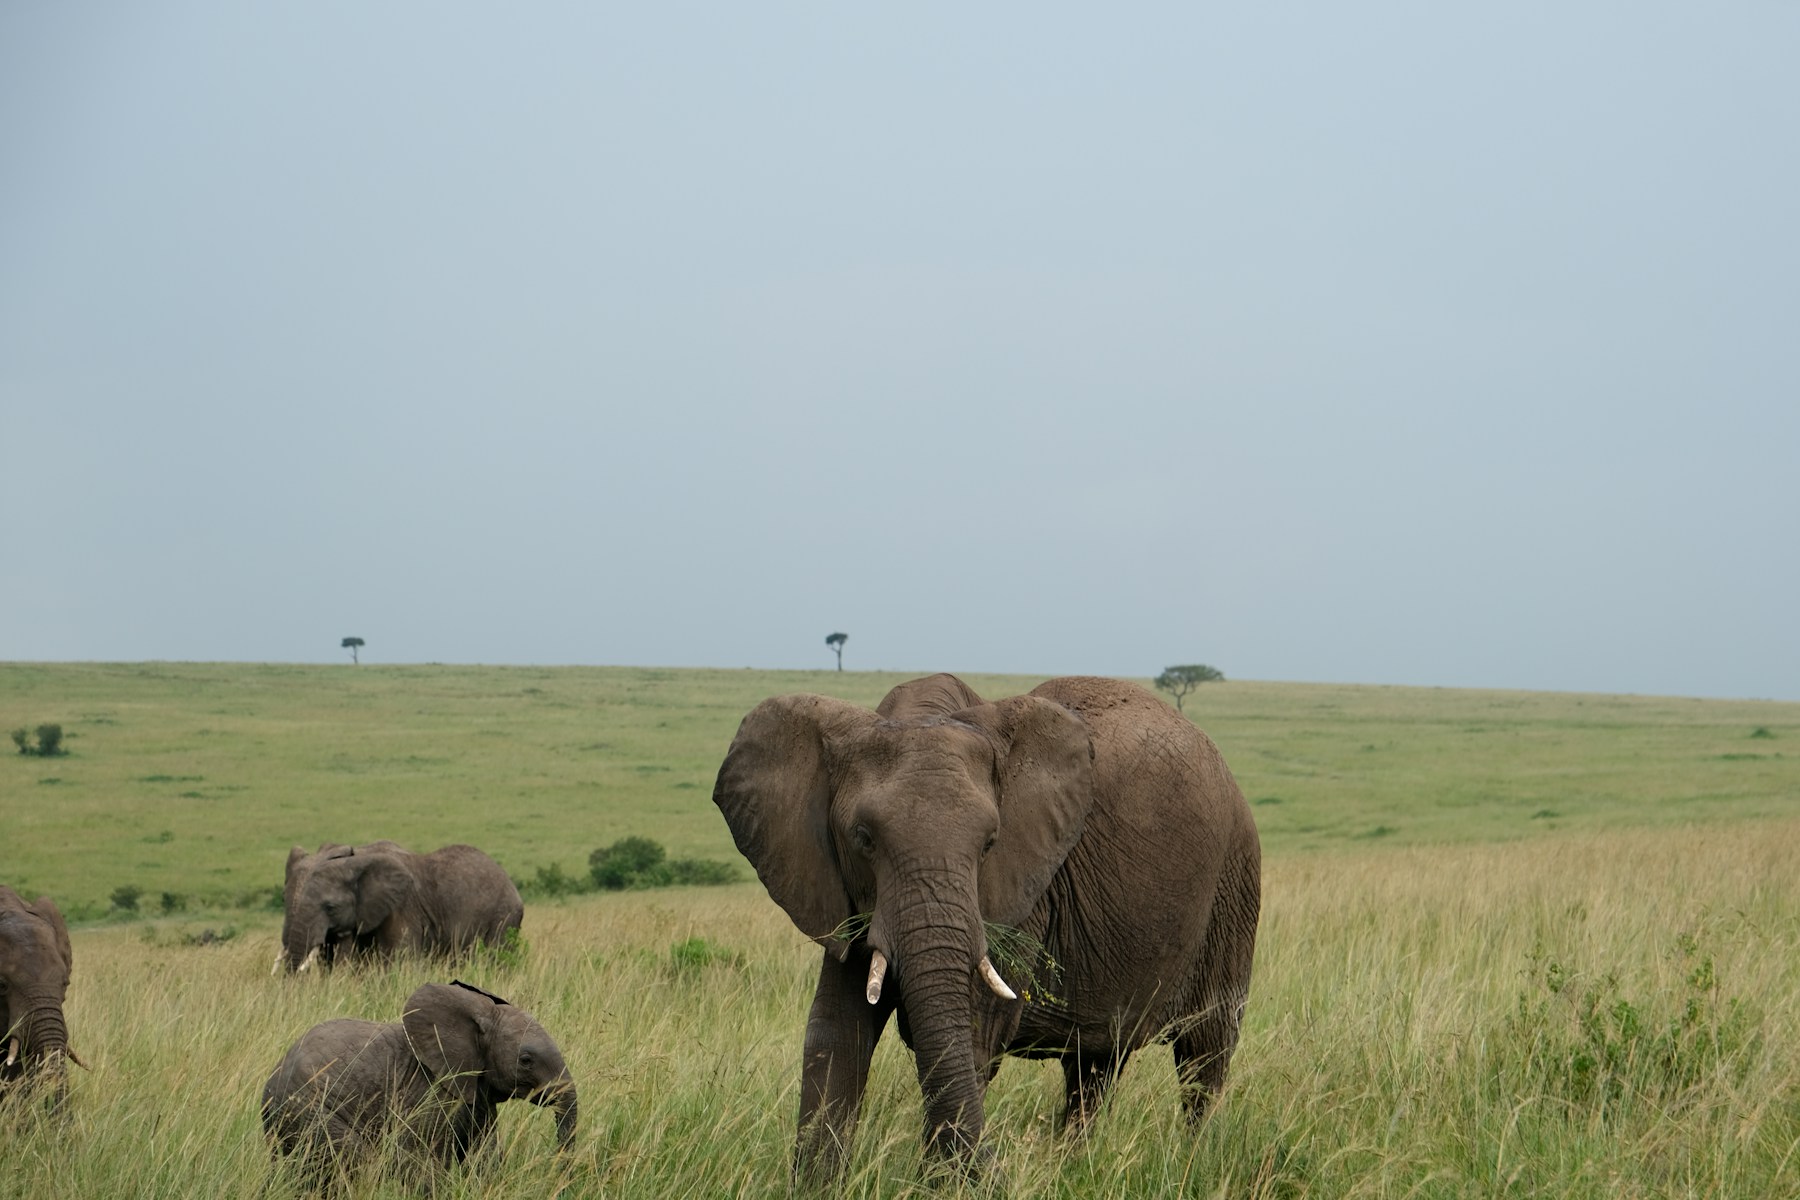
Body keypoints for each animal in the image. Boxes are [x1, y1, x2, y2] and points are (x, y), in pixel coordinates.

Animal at [261, 980, 577, 1186]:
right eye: (526, 1060)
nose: (561, 1175)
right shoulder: (427, 1091)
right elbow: (413, 1157)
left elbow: (484, 1156)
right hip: (309, 1112)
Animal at [275, 842, 523, 973]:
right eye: (284, 900)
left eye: (330, 907)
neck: (359, 857)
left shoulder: (402, 910)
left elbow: (400, 961)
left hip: (504, 918)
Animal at [713, 673, 1261, 1178]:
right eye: (863, 838)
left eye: (989, 844)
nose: (1000, 1161)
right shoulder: (842, 891)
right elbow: (836, 1032)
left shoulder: (1021, 891)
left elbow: (972, 1037)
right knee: (1094, 1066)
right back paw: (1071, 1168)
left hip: (1235, 884)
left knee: (1204, 1055)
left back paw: (1194, 1163)